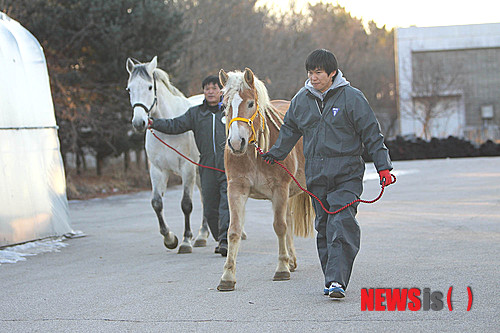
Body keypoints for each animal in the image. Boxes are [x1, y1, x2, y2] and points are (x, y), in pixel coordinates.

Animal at [127, 56, 211, 252]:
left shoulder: (187, 169)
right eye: (129, 89)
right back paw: (202, 235)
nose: (139, 122)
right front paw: (170, 239)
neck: (169, 126)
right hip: (200, 172)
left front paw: (186, 241)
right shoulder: (158, 170)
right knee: (206, 198)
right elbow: (156, 203)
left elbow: (186, 204)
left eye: (150, 87)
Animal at [218, 68, 312, 290]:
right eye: (225, 105)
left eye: (251, 103)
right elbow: (234, 231)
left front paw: (281, 269)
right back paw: (291, 260)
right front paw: (227, 276)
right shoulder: (236, 190)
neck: (255, 154)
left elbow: (279, 227)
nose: (236, 143)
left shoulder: (280, 189)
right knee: (288, 220)